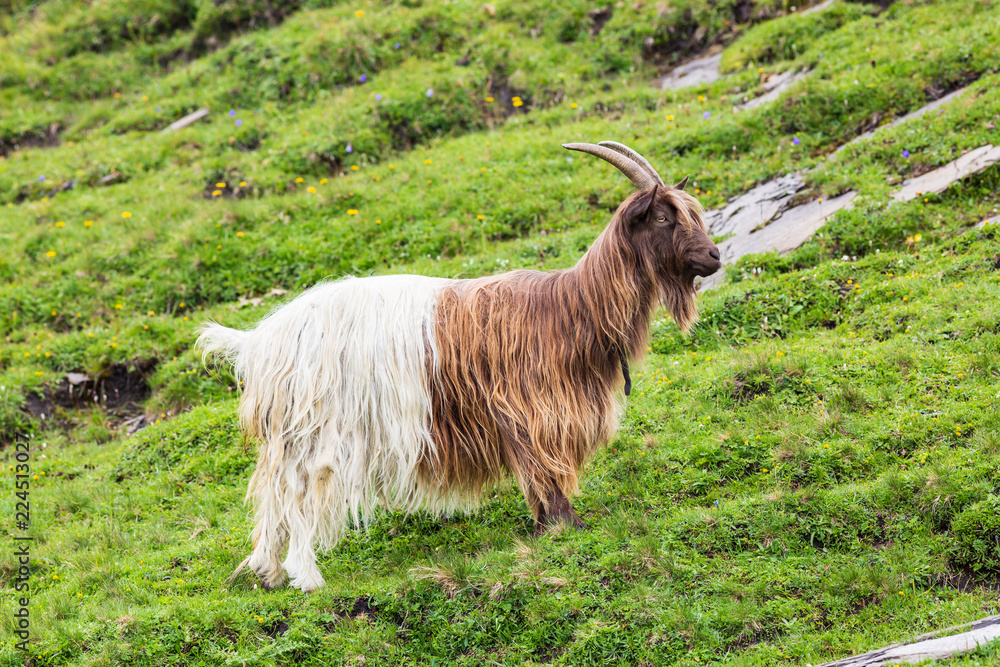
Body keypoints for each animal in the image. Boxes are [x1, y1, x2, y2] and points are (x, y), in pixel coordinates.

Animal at [198, 141, 721, 592]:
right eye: (662, 217)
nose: (714, 256)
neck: (571, 309)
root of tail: (260, 341)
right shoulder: (531, 409)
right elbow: (544, 469)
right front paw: (567, 527)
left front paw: (545, 528)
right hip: (319, 433)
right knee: (303, 495)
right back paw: (307, 577)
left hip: (288, 437)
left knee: (273, 496)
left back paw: (268, 572)